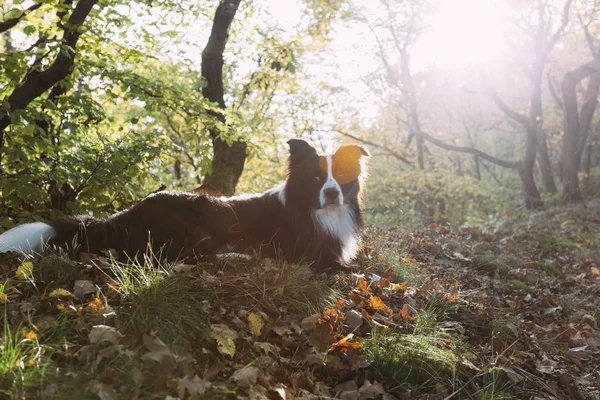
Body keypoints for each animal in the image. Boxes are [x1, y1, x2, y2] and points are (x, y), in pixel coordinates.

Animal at [0, 139, 368, 270]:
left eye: (340, 177)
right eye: (316, 179)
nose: (332, 193)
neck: (317, 211)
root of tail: (123, 216)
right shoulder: (312, 255)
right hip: (202, 216)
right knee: (178, 255)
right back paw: (237, 255)